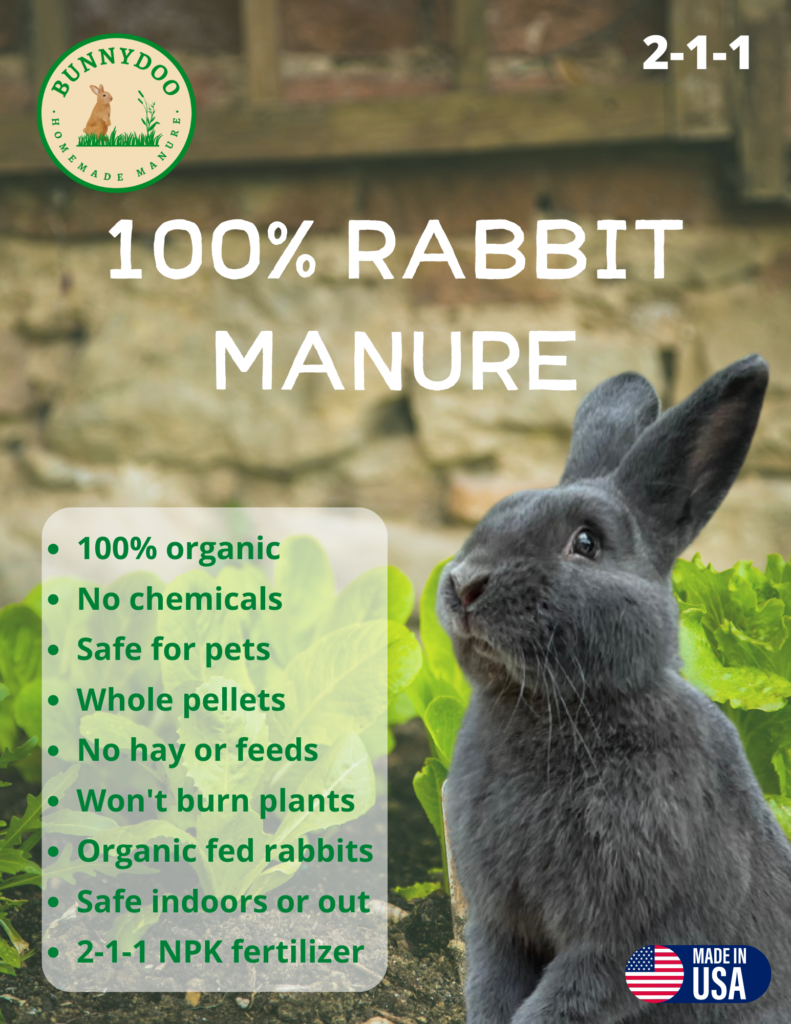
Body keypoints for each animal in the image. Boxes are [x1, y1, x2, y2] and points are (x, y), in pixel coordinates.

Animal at [439, 354, 791, 1023]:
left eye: (586, 543)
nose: (465, 582)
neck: (550, 709)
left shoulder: (626, 937)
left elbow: (563, 1001)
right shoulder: (500, 924)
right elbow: (492, 987)